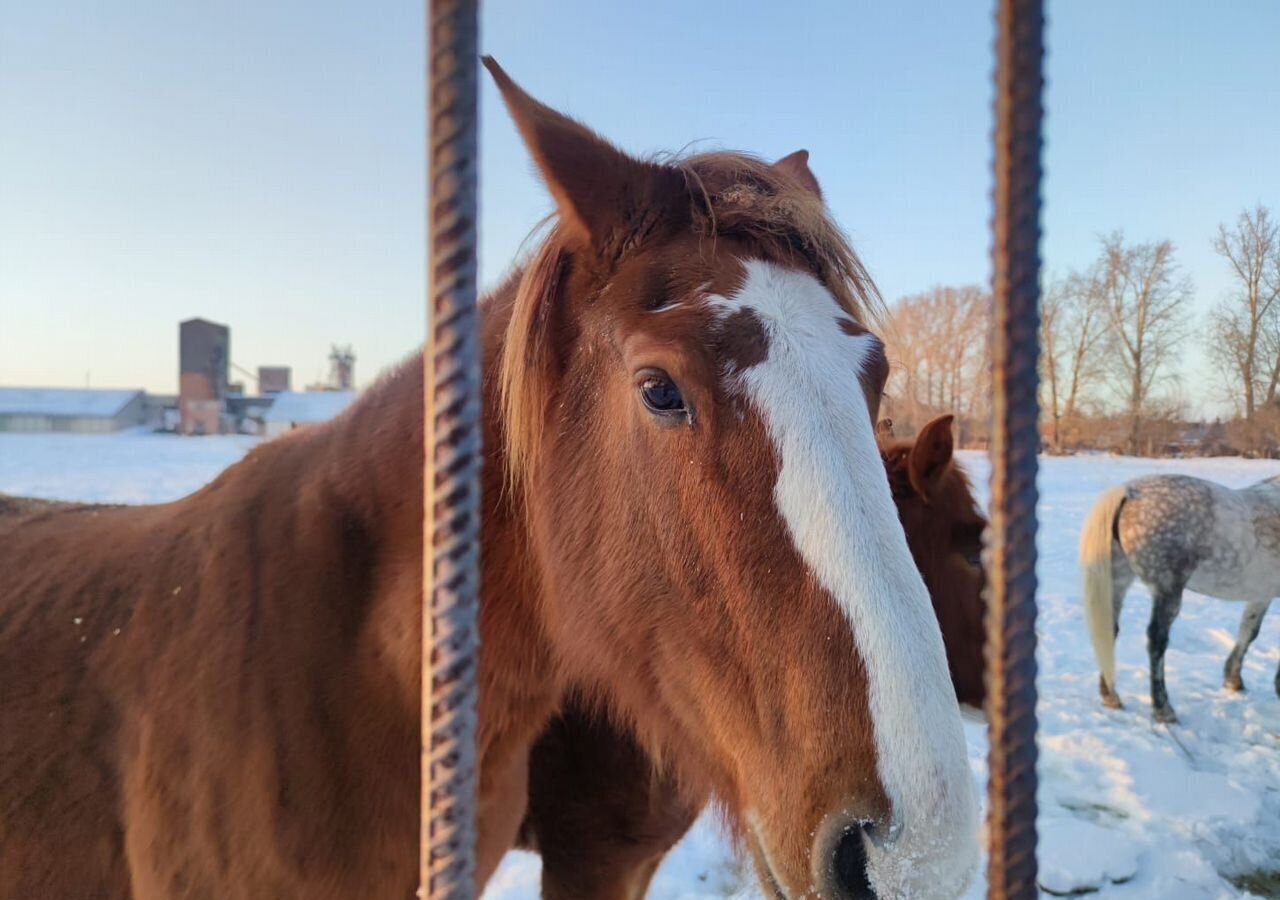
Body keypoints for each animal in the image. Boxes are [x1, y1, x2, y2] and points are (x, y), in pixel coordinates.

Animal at [1080, 476, 1280, 722]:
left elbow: (1248, 631)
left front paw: (1233, 680)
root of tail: (1130, 491)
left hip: (1118, 581)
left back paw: (1111, 697)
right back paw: (1163, 709)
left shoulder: (1261, 594)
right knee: (1157, 641)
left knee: (1110, 631)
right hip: (1167, 590)